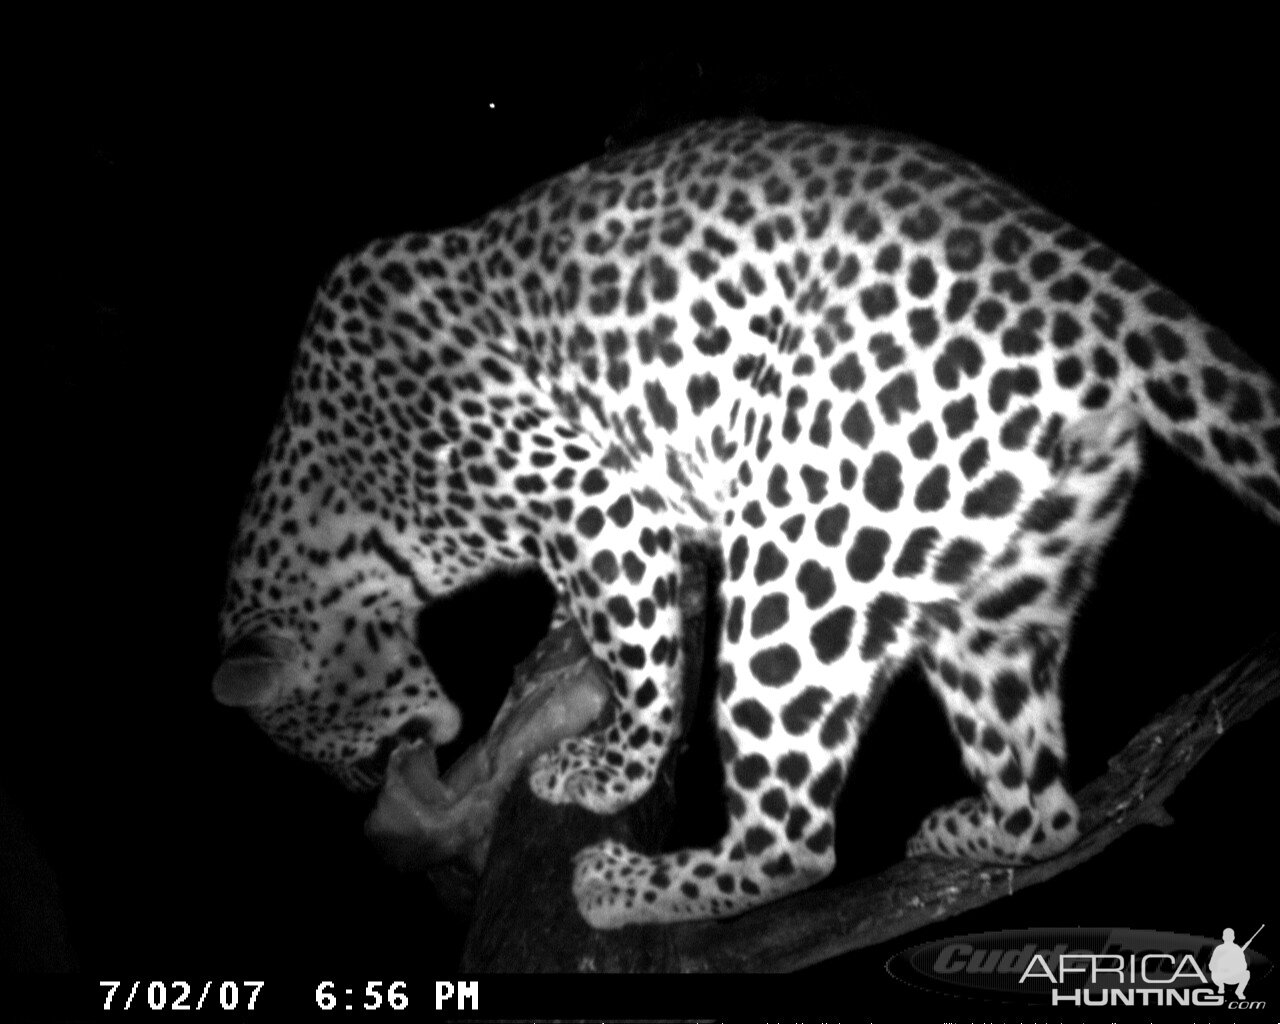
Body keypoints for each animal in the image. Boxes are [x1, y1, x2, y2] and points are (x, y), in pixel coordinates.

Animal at [215, 120, 1280, 926]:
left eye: (318, 737)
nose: (368, 791)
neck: (345, 500)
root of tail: (1086, 279)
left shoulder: (597, 500)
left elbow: (640, 661)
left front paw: (610, 766)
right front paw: (561, 652)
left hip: (799, 550)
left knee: (794, 842)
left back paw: (624, 887)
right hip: (996, 597)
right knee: (1045, 810)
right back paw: (968, 831)